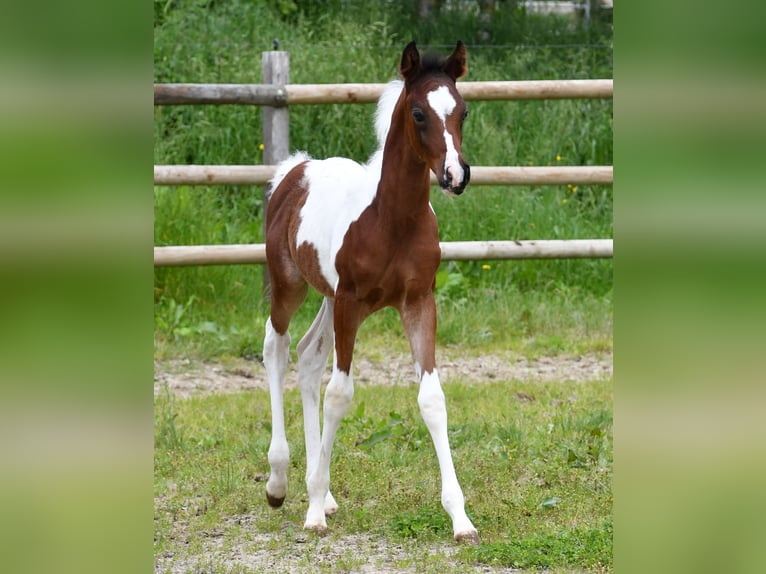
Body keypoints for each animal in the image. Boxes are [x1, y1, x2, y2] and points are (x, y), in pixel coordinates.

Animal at [264, 40, 480, 544]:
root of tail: (294, 168)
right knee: (277, 349)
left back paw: (319, 489)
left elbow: (431, 399)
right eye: (418, 113)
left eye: (462, 110)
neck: (391, 220)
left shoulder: (418, 302)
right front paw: (313, 512)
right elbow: (340, 394)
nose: (455, 175)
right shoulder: (352, 303)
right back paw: (281, 483)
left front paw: (460, 518)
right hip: (290, 286)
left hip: (326, 297)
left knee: (307, 357)